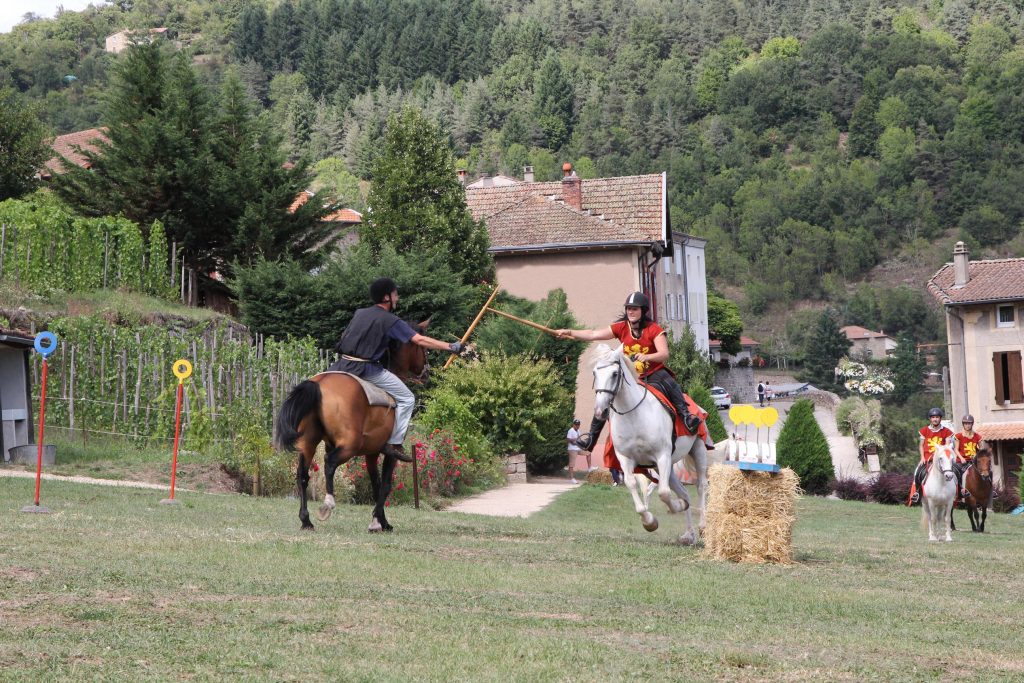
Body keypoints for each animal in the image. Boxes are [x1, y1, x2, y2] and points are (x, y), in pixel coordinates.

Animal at [272, 321, 428, 532]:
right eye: (422, 348)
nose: (427, 373)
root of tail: (318, 384)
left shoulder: (372, 453)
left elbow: (376, 485)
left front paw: (380, 520)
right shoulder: (389, 453)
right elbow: (385, 485)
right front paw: (379, 522)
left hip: (308, 443)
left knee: (303, 475)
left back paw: (306, 520)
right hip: (350, 446)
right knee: (329, 463)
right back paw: (327, 504)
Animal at [593, 344, 712, 548]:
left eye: (615, 373)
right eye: (594, 373)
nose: (600, 411)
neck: (634, 415)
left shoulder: (662, 456)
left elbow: (663, 493)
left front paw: (677, 506)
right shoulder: (627, 459)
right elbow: (633, 485)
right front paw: (650, 522)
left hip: (698, 449)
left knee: (701, 486)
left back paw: (703, 526)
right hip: (666, 468)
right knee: (684, 492)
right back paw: (689, 534)